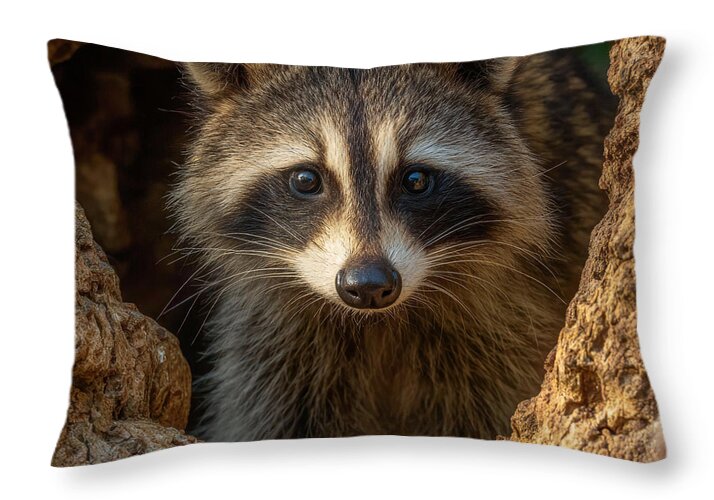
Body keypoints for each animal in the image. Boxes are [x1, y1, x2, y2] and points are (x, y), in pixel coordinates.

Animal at [169, 49, 616, 441]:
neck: (379, 323)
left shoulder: (506, 319)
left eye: (415, 180)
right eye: (306, 180)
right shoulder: (275, 337)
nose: (368, 284)